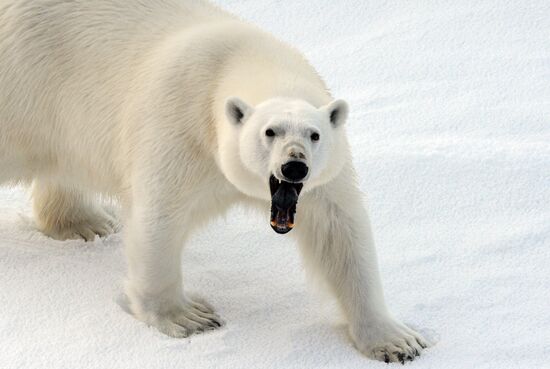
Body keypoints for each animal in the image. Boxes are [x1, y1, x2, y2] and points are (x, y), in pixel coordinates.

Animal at [0, 0, 432, 362]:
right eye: (269, 132)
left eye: (314, 135)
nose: (294, 167)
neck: (238, 60)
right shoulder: (179, 127)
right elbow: (159, 220)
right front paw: (188, 317)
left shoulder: (323, 179)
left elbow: (340, 232)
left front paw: (397, 341)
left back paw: (84, 222)